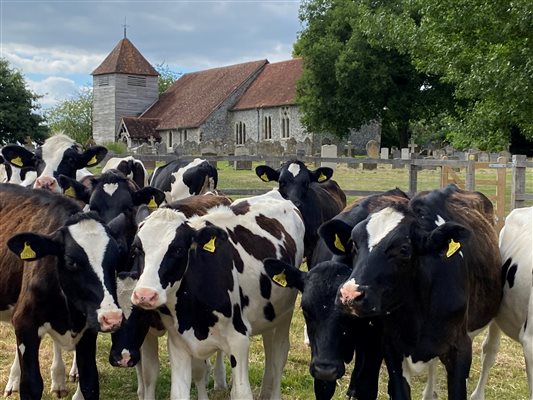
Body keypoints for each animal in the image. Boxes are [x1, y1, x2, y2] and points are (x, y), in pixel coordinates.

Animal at [0, 184, 123, 400]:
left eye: (116, 258)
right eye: (71, 262)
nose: (112, 318)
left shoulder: (88, 332)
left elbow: (90, 382)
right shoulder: (25, 323)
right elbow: (31, 385)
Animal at [129, 189, 304, 398]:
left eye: (178, 250)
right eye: (137, 249)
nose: (145, 295)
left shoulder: (239, 340)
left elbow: (242, 393)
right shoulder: (179, 344)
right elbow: (179, 393)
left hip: (285, 314)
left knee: (279, 355)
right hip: (269, 315)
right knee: (269, 347)